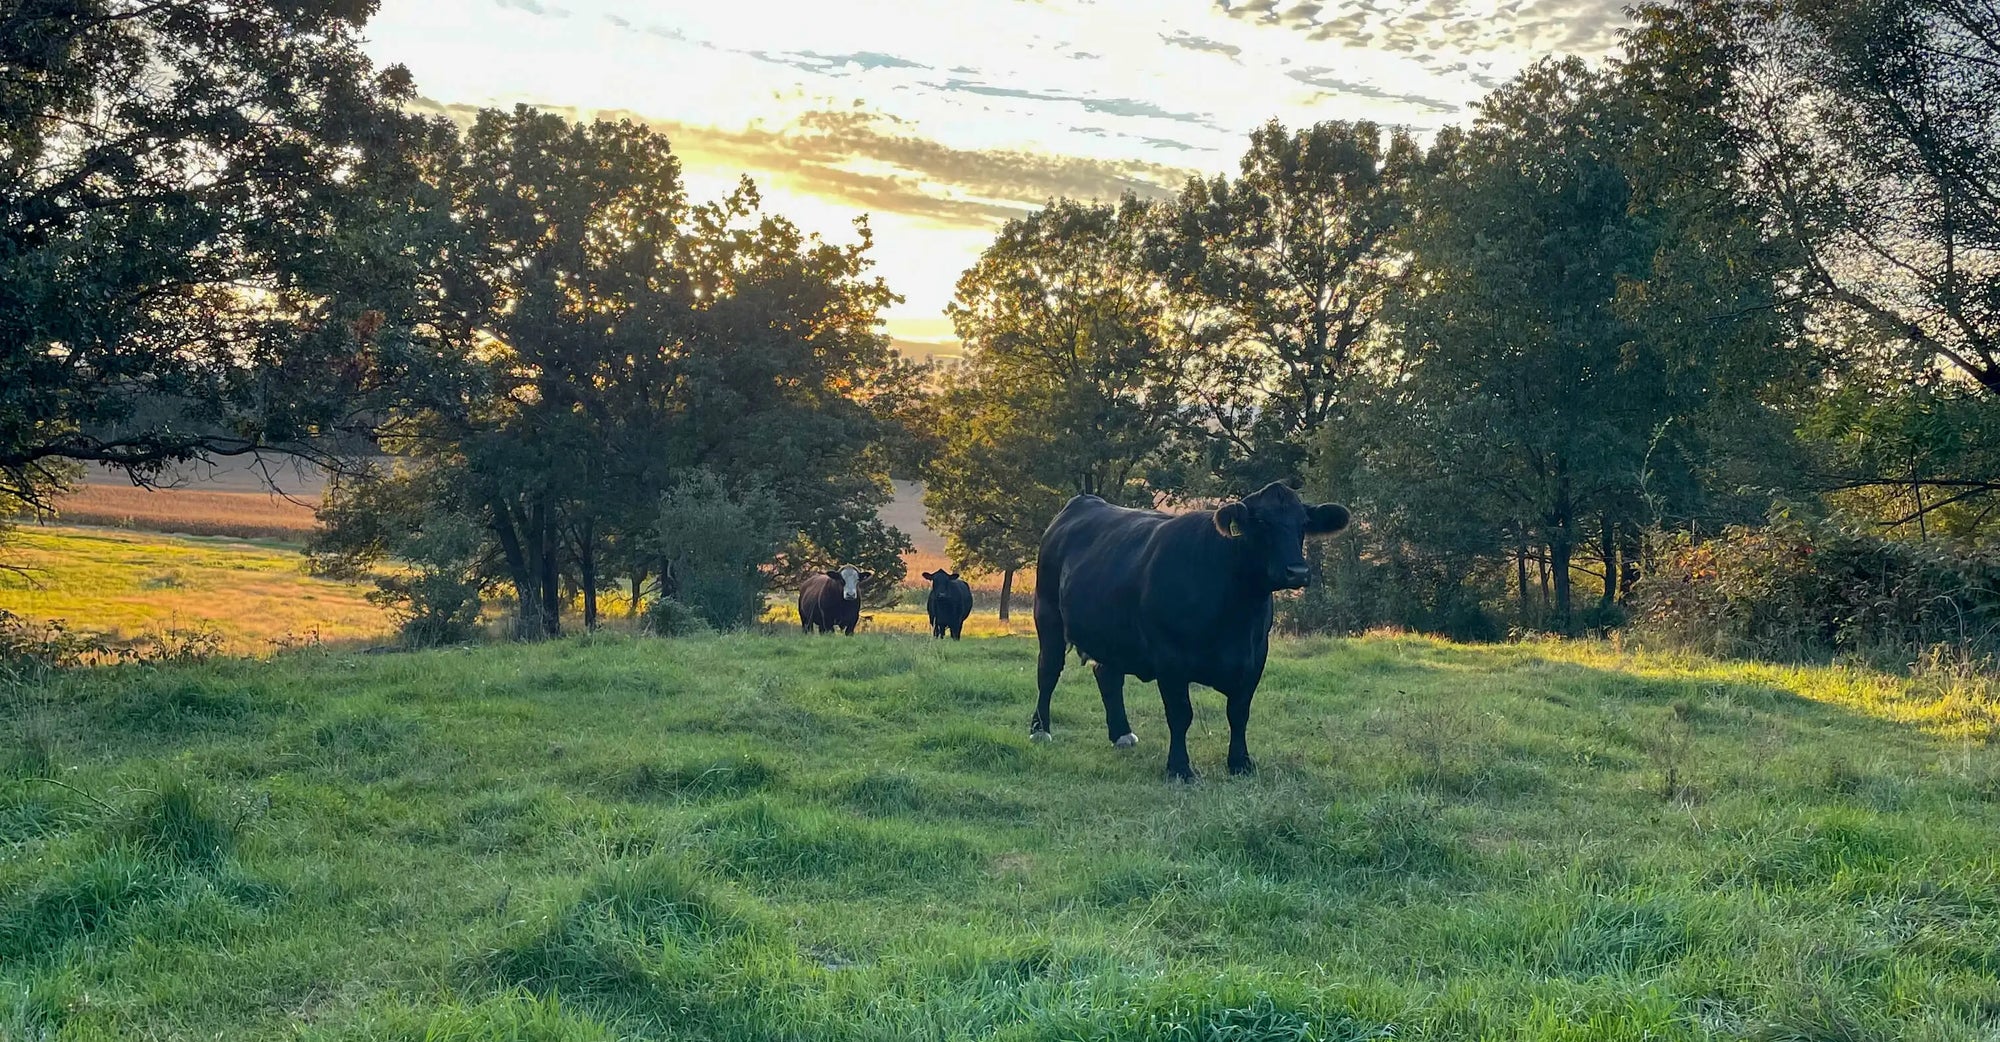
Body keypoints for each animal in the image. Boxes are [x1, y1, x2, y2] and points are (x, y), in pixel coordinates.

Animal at [1030, 481, 1350, 781]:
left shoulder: (1256, 655)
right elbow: (1180, 714)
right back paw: (1040, 730)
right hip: (1048, 617)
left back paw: (1121, 734)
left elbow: (1239, 713)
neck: (1236, 612)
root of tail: (1083, 501)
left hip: (1110, 633)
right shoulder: (1169, 658)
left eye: (1303, 523)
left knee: (1107, 675)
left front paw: (1240, 763)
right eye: (1261, 522)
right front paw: (1179, 768)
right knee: (1048, 672)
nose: (1298, 572)